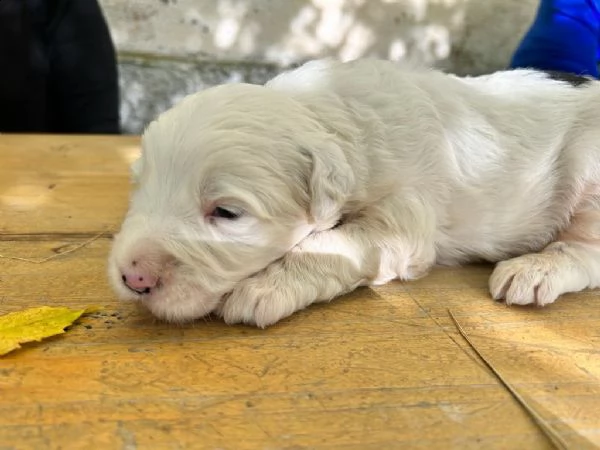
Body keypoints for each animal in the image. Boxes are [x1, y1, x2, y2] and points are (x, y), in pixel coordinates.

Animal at [108, 59, 600, 326]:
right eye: (140, 188)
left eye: (226, 213)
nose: (133, 278)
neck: (327, 112)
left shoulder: (403, 219)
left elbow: (327, 244)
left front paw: (264, 287)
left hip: (588, 170)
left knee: (586, 251)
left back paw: (535, 269)